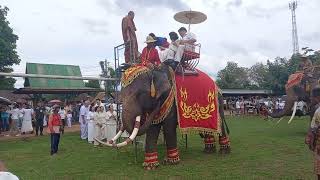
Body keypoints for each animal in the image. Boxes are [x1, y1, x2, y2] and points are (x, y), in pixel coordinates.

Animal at [95, 64, 230, 169]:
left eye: (140, 94)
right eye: (121, 95)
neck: (155, 71)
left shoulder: (171, 100)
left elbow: (169, 127)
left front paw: (170, 162)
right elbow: (152, 129)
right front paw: (150, 166)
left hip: (217, 102)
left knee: (220, 124)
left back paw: (224, 152)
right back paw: (208, 151)